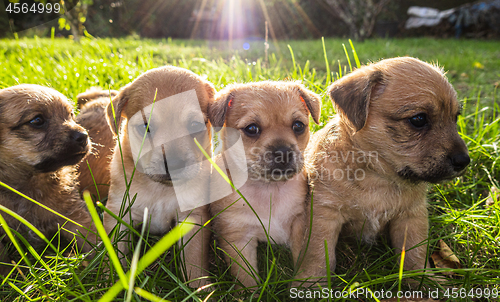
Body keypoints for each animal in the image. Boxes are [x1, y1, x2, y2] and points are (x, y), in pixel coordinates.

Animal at [103, 66, 215, 288]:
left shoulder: (193, 217)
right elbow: (116, 250)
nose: (174, 163)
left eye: (195, 125)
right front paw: (110, 281)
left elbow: (193, 258)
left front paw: (198, 289)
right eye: (145, 127)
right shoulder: (119, 212)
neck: (160, 189)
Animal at [209, 80, 322, 288]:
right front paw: (251, 292)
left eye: (298, 126)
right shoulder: (238, 239)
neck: (269, 189)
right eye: (252, 129)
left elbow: (303, 260)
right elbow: (246, 278)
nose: (284, 152)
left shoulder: (300, 225)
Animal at [294, 57, 470, 286]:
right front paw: (311, 282)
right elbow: (317, 253)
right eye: (419, 120)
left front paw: (424, 281)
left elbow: (415, 253)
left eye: (455, 118)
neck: (378, 176)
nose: (464, 161)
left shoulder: (411, 216)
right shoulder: (324, 213)